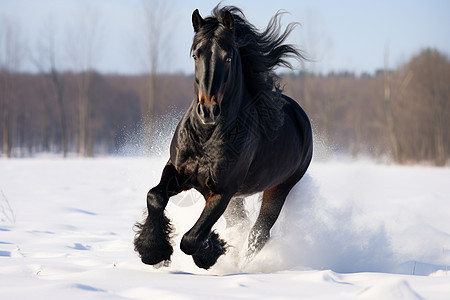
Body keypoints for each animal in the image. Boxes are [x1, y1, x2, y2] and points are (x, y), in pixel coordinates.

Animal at [134, 6, 312, 270]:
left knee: (259, 233)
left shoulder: (222, 192)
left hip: (279, 188)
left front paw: (211, 250)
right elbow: (155, 197)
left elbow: (191, 238)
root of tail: (300, 116)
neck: (206, 138)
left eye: (228, 58)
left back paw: (241, 264)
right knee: (243, 223)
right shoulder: (178, 172)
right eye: (195, 55)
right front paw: (152, 251)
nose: (208, 110)